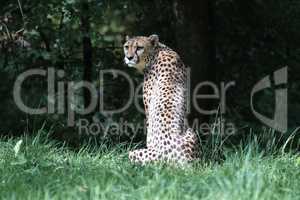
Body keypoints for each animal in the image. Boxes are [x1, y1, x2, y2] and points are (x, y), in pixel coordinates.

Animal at [123, 34, 198, 166]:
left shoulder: (148, 108)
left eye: (139, 47)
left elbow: (149, 131)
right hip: (191, 133)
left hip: (133, 153)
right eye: (127, 47)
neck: (158, 51)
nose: (129, 57)